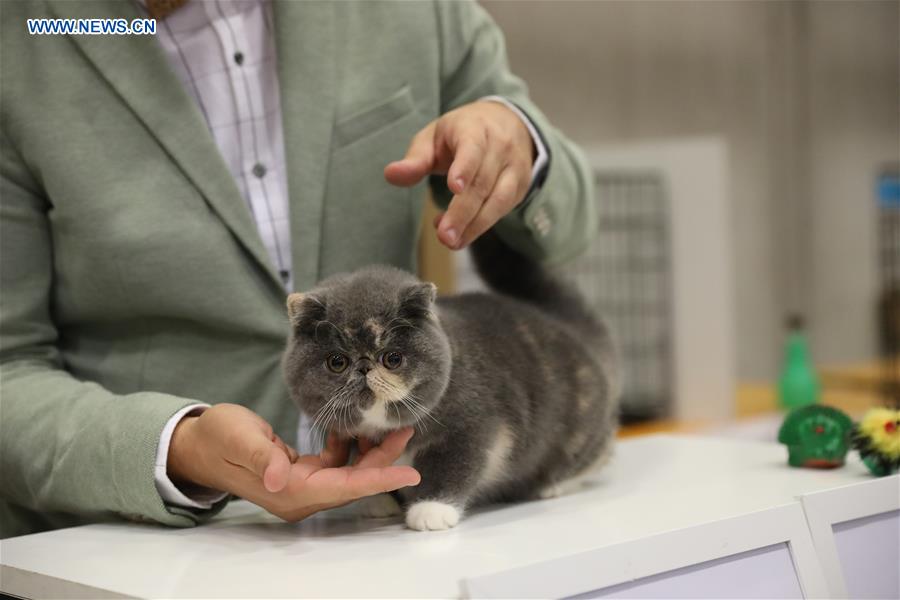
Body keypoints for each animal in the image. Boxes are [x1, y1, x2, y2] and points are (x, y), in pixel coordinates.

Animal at [284, 230, 620, 528]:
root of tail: (569, 325)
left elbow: (451, 467)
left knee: (595, 455)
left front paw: (431, 510)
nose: (364, 368)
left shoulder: (473, 428)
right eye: (337, 362)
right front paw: (377, 501)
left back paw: (550, 485)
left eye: (392, 358)